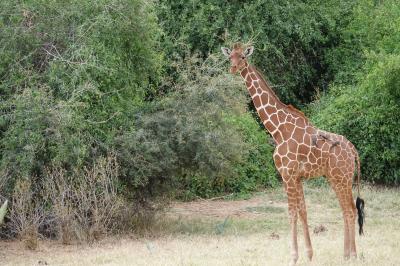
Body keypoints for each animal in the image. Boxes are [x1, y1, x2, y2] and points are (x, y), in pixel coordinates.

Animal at [222, 42, 366, 264]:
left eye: (243, 57)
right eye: (230, 57)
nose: (233, 69)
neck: (278, 129)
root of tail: (353, 150)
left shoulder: (287, 175)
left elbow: (291, 213)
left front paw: (293, 257)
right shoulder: (297, 176)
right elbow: (303, 211)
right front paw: (309, 254)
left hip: (341, 178)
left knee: (350, 210)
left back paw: (350, 256)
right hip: (337, 178)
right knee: (347, 209)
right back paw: (347, 254)